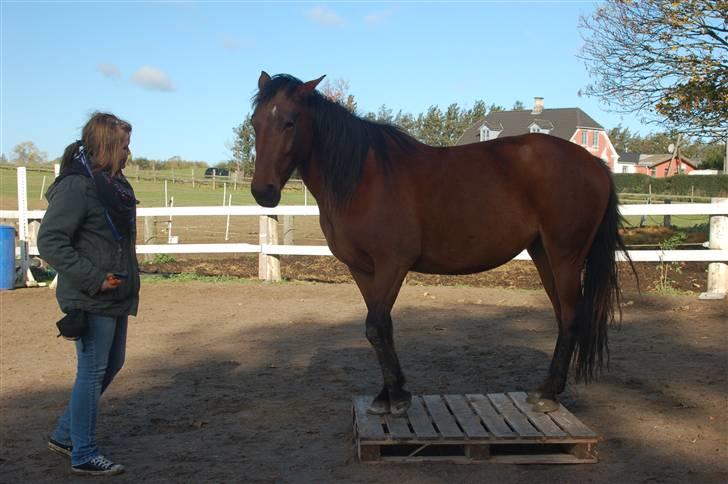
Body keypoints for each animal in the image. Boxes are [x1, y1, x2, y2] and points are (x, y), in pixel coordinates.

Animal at [249, 72, 632, 416]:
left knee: (570, 314)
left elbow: (377, 325)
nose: (263, 192)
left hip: (566, 254)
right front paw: (389, 394)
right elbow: (380, 327)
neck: (363, 179)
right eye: (255, 123)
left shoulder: (393, 264)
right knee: (562, 314)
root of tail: (594, 163)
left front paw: (397, 398)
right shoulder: (362, 269)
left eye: (289, 122)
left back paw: (549, 394)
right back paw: (545, 389)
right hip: (543, 253)